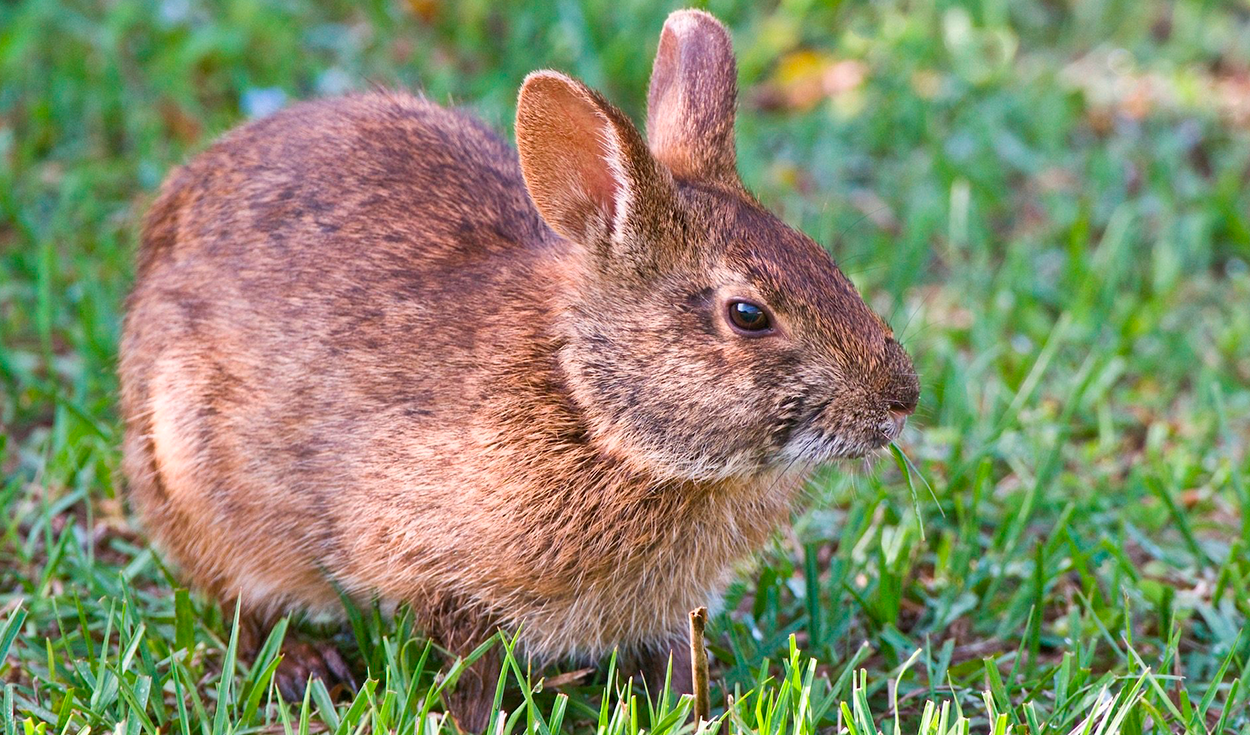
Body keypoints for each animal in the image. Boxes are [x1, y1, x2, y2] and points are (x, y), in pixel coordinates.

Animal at [119, 8, 918, 731]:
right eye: (748, 314)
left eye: (824, 258)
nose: (900, 400)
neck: (590, 406)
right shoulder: (434, 568)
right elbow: (470, 672)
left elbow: (674, 661)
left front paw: (694, 713)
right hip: (196, 474)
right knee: (239, 604)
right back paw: (301, 665)